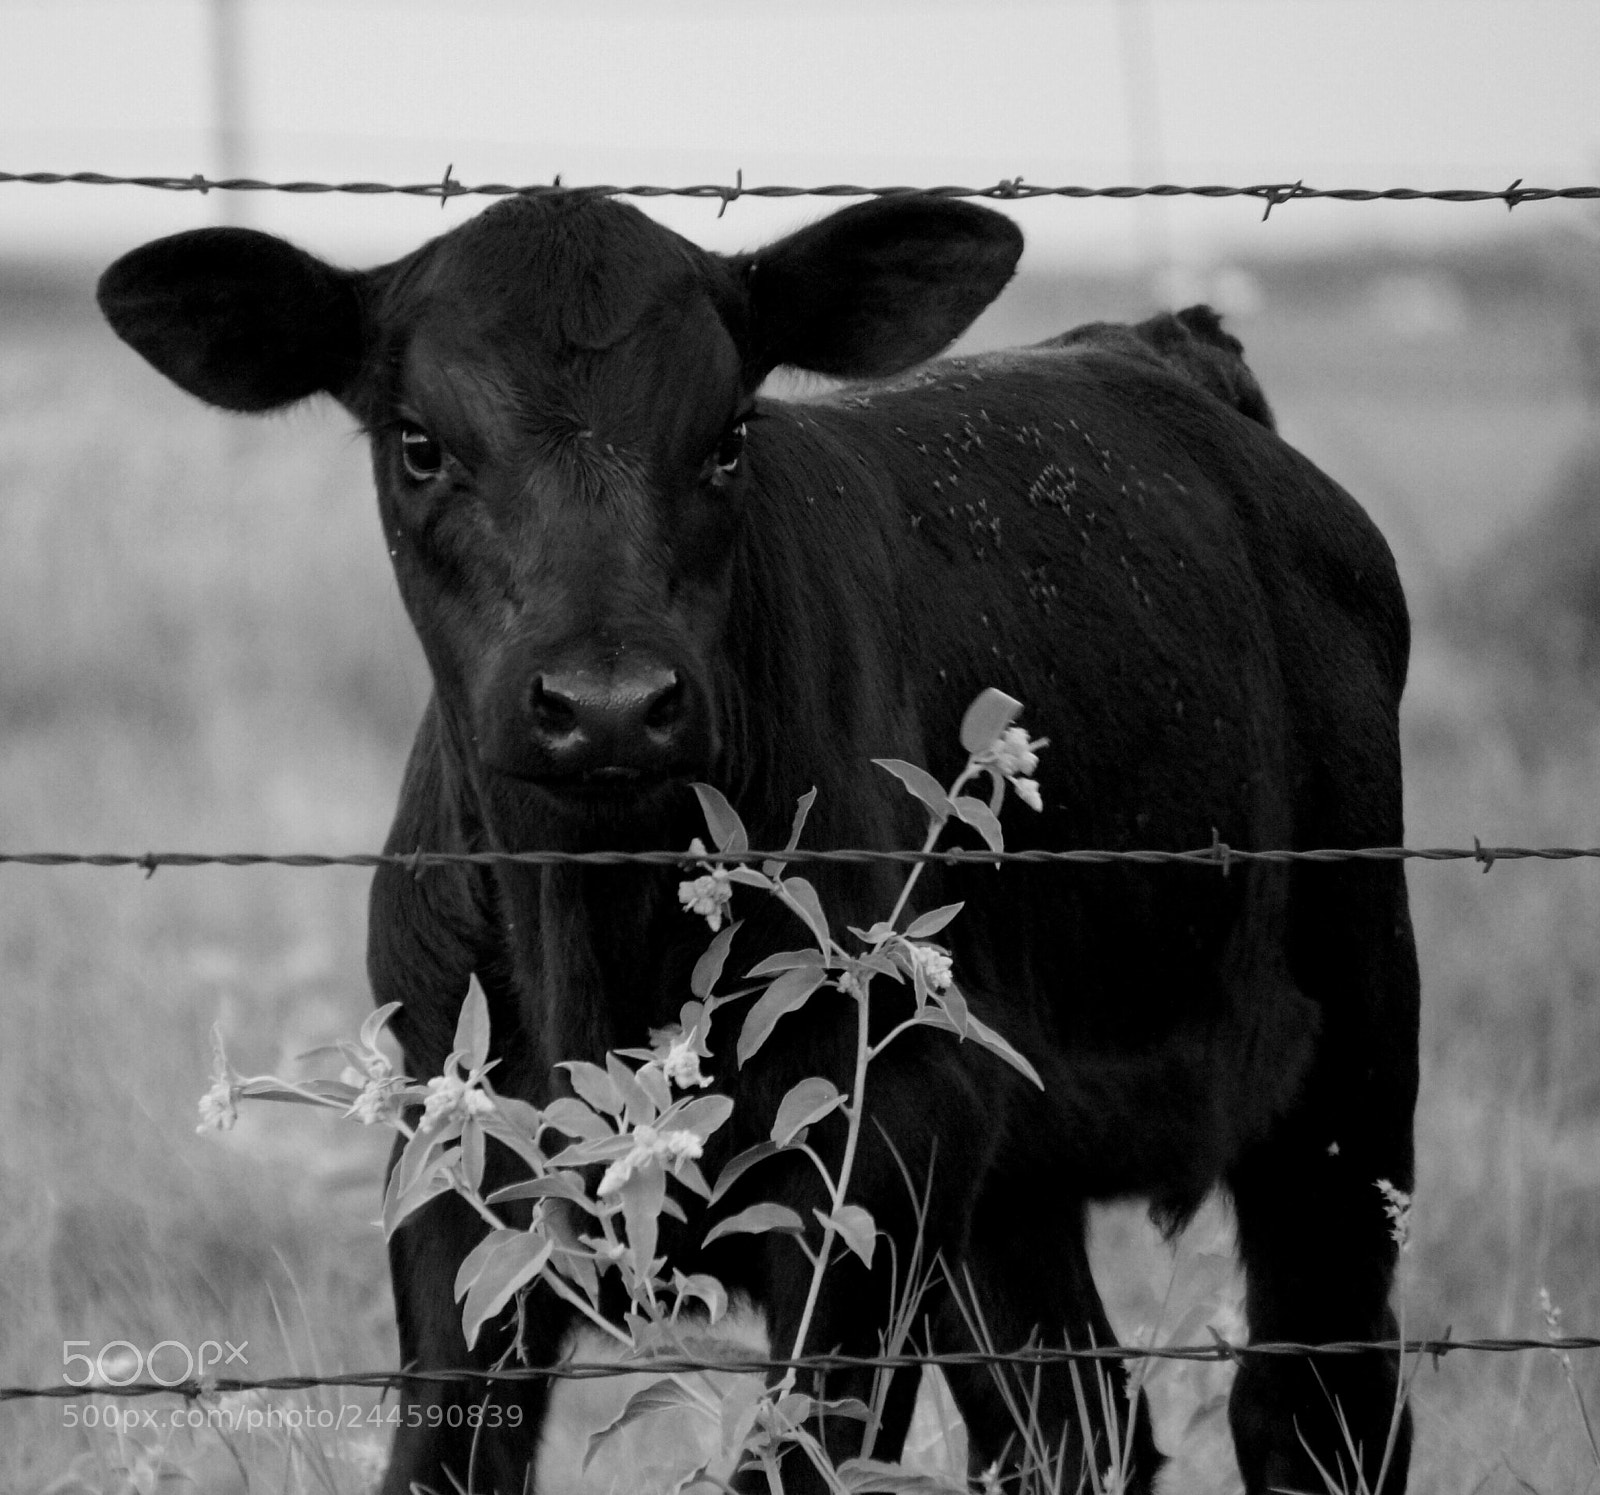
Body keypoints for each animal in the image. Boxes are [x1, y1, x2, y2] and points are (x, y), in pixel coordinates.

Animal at [97, 192, 1419, 1495]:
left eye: (730, 436)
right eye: (419, 442)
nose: (609, 701)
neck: (598, 939)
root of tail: (1160, 350)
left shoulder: (866, 1159)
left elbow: (798, 1457)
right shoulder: (455, 1162)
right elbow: (446, 1451)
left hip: (1349, 1052)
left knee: (1316, 1404)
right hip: (1012, 1173)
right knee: (1071, 1423)